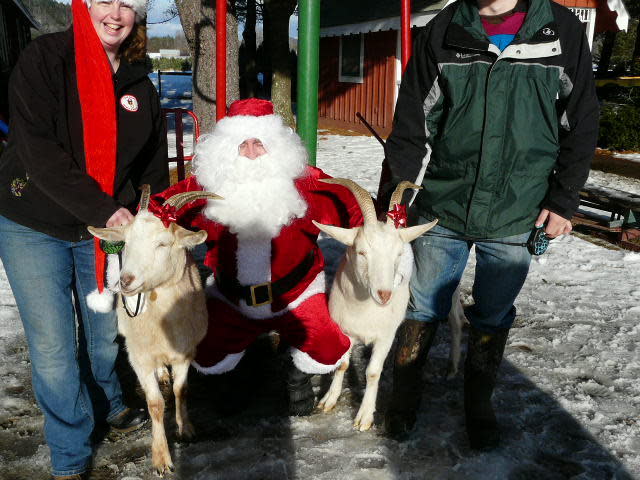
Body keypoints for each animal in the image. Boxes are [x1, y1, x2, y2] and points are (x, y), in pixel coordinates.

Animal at [89, 186, 220, 474]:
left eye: (162, 244)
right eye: (126, 243)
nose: (125, 281)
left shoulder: (185, 352)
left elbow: (182, 390)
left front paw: (186, 428)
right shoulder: (139, 357)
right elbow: (156, 404)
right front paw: (161, 459)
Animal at [316, 179, 464, 432]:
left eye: (398, 253)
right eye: (361, 252)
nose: (384, 295)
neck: (364, 310)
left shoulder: (385, 336)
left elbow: (373, 373)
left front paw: (365, 416)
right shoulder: (344, 329)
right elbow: (342, 364)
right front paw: (329, 399)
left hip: (447, 282)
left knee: (456, 319)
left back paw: (453, 368)